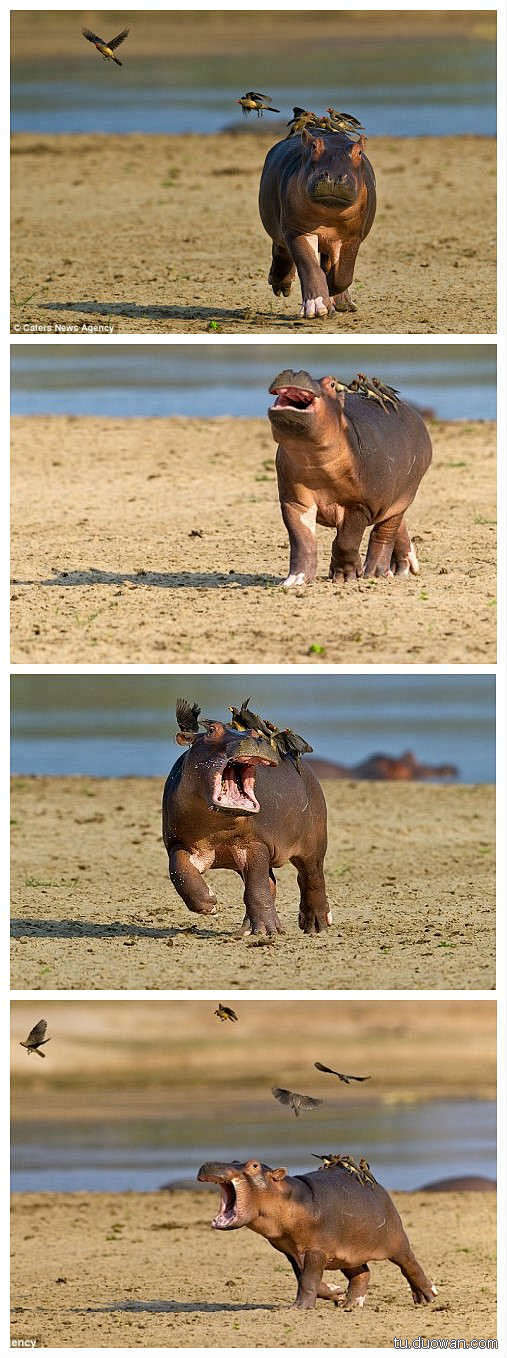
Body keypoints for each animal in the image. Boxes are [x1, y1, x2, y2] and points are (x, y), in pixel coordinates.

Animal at [161, 700, 327, 934]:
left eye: (255, 732)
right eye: (211, 730)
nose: (254, 738)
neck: (216, 827)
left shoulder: (255, 843)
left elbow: (257, 887)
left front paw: (269, 931)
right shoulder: (178, 842)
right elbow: (179, 870)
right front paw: (209, 904)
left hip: (314, 843)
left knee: (311, 878)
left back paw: (316, 926)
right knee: (271, 884)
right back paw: (247, 929)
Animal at [197, 1162, 434, 1309]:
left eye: (253, 1165)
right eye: (234, 1159)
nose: (209, 1163)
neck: (287, 1196)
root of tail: (379, 1187)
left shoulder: (316, 1250)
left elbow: (308, 1279)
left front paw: (299, 1307)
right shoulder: (292, 1251)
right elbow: (304, 1277)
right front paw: (336, 1292)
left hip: (396, 1240)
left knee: (409, 1264)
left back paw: (427, 1296)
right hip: (347, 1254)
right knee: (362, 1274)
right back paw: (351, 1304)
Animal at [269, 369, 429, 586]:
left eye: (331, 384)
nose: (295, 372)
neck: (313, 458)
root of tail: (414, 414)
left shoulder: (359, 504)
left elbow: (346, 541)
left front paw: (345, 576)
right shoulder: (295, 502)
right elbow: (302, 540)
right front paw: (295, 580)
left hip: (403, 496)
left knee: (385, 532)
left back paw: (376, 572)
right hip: (389, 499)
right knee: (397, 526)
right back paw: (402, 568)